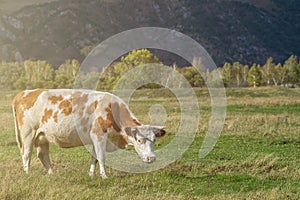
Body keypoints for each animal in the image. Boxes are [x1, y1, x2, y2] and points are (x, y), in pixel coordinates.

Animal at [11, 89, 165, 178]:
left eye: (154, 140)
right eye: (139, 140)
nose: (151, 158)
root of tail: (23, 93)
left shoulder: (95, 139)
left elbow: (94, 158)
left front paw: (92, 174)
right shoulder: (99, 135)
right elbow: (102, 157)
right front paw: (104, 177)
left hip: (42, 136)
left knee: (42, 154)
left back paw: (52, 174)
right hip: (28, 133)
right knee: (27, 154)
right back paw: (27, 173)